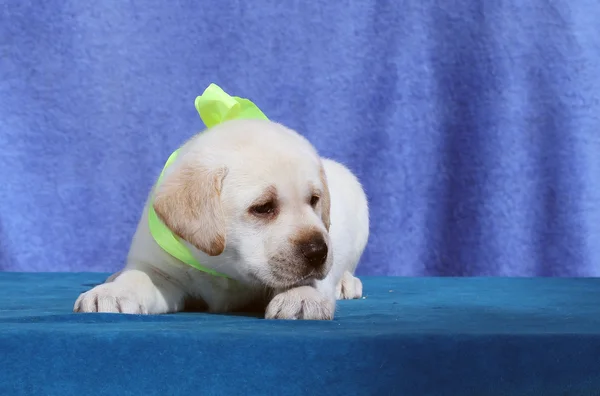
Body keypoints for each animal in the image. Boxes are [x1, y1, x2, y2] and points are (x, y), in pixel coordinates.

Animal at [75, 118, 366, 318]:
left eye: (314, 200)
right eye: (263, 207)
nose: (318, 251)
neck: (225, 268)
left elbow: (310, 279)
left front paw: (303, 296)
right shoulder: (160, 269)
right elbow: (138, 277)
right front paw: (114, 293)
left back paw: (346, 283)